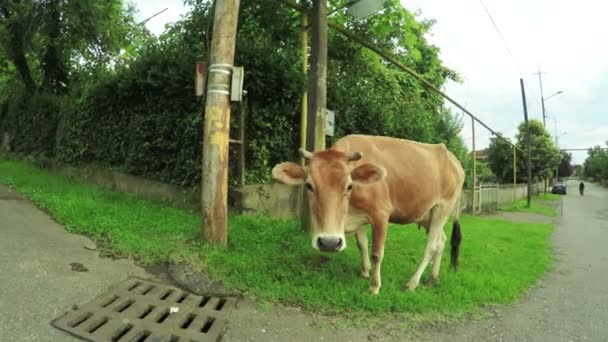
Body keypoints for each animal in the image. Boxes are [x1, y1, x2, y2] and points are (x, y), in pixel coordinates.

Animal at [272, 134, 466, 294]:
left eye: (349, 186)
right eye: (309, 185)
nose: (329, 243)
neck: (348, 215)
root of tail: (454, 161)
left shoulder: (381, 214)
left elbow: (376, 253)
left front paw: (374, 286)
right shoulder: (359, 217)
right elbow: (362, 245)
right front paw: (365, 272)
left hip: (443, 207)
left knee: (431, 246)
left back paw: (412, 283)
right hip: (427, 215)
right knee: (441, 241)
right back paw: (433, 278)